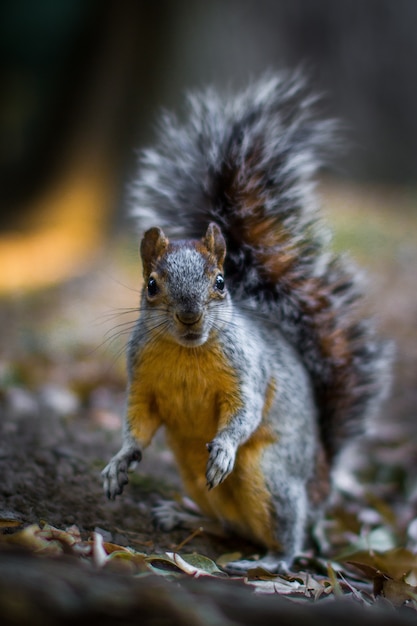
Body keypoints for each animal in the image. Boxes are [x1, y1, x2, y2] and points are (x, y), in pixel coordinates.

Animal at [101, 70, 390, 568]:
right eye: (152, 285)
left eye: (221, 282)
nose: (190, 317)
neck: (186, 353)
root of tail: (322, 484)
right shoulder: (141, 380)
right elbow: (137, 421)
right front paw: (120, 460)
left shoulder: (248, 371)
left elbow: (245, 410)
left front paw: (224, 447)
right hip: (195, 476)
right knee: (228, 523)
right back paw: (185, 517)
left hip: (270, 477)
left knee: (286, 532)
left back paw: (271, 560)